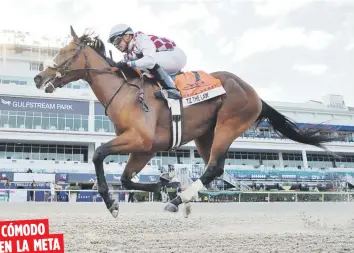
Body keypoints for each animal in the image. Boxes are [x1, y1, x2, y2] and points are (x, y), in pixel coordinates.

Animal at [34, 26, 338, 218]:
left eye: (64, 52)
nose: (39, 77)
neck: (125, 92)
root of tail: (255, 93)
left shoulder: (140, 139)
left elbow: (98, 154)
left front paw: (112, 203)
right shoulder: (146, 148)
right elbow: (126, 178)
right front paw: (162, 185)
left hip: (229, 124)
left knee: (214, 167)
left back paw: (178, 201)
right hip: (206, 135)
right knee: (215, 170)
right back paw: (183, 198)